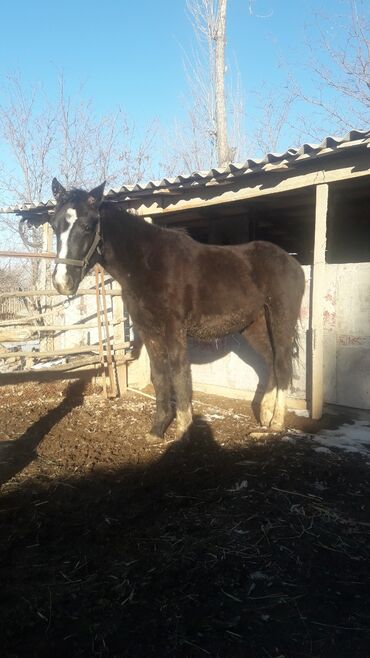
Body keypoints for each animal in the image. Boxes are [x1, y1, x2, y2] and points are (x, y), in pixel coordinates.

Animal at [27, 177, 304, 438]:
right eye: (55, 225)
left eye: (86, 226)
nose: (62, 282)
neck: (147, 263)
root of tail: (293, 262)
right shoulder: (148, 329)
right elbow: (159, 375)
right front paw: (158, 430)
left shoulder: (174, 327)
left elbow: (180, 374)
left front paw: (183, 430)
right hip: (254, 325)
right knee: (271, 362)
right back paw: (265, 416)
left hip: (281, 318)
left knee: (282, 365)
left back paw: (275, 424)